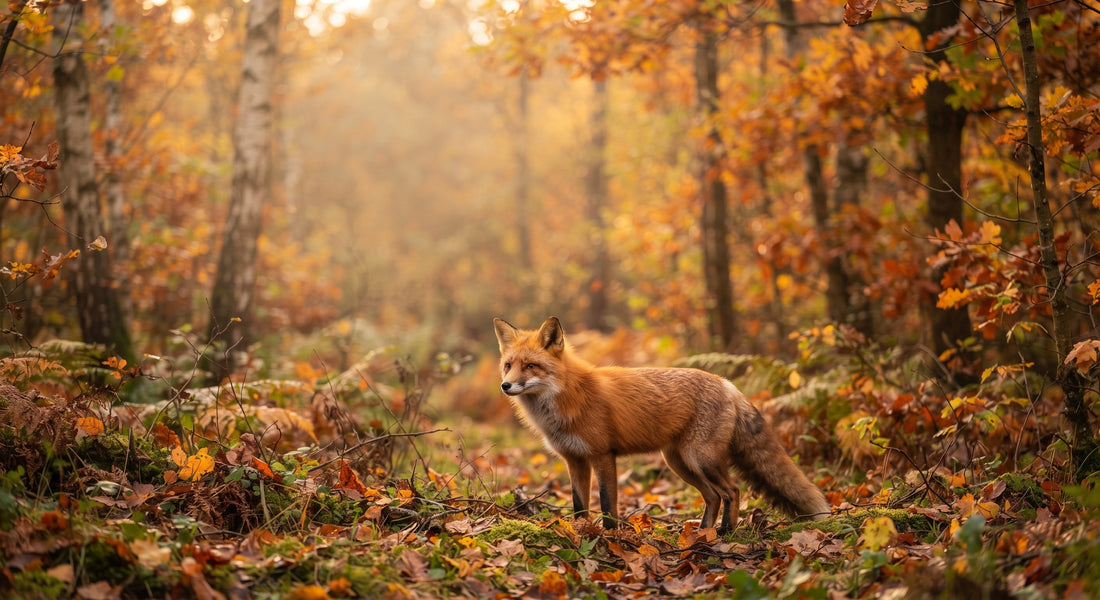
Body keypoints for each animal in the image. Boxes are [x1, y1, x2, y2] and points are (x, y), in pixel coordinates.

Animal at [493, 316, 829, 533]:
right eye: (508, 365)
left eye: (531, 366)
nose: (505, 386)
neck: (567, 397)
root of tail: (727, 383)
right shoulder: (574, 459)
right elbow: (579, 505)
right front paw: (579, 531)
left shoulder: (603, 455)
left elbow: (607, 504)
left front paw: (610, 538)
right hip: (680, 463)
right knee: (712, 496)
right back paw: (701, 533)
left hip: (701, 459)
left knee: (732, 491)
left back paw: (725, 533)